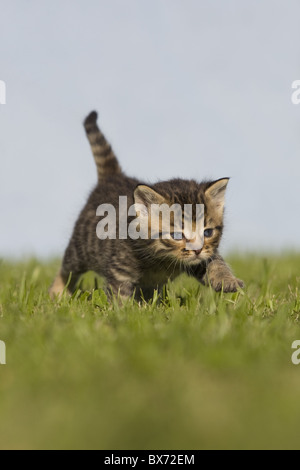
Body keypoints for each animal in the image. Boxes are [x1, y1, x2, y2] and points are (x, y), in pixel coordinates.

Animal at [49, 112, 244, 300]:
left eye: (208, 232)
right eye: (176, 235)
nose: (197, 250)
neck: (162, 260)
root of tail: (114, 177)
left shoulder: (199, 258)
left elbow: (213, 260)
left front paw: (226, 279)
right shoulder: (120, 270)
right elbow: (119, 295)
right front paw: (123, 309)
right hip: (81, 248)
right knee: (66, 269)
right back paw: (57, 293)